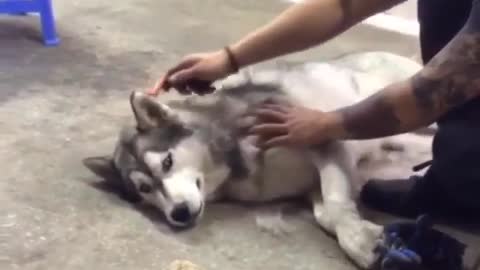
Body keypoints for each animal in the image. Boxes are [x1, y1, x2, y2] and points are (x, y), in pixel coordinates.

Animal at [82, 51, 436, 268]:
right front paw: (364, 237)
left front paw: (363, 243)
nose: (179, 214)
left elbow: (336, 206)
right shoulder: (311, 184)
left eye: (167, 163)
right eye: (145, 189)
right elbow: (327, 214)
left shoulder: (322, 138)